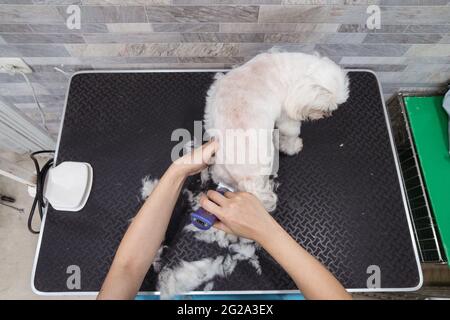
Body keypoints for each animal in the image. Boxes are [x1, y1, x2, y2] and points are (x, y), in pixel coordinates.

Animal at [203, 51, 348, 211]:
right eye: (325, 107)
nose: (328, 114)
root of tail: (247, 181)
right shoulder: (286, 116)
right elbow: (291, 133)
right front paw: (293, 147)